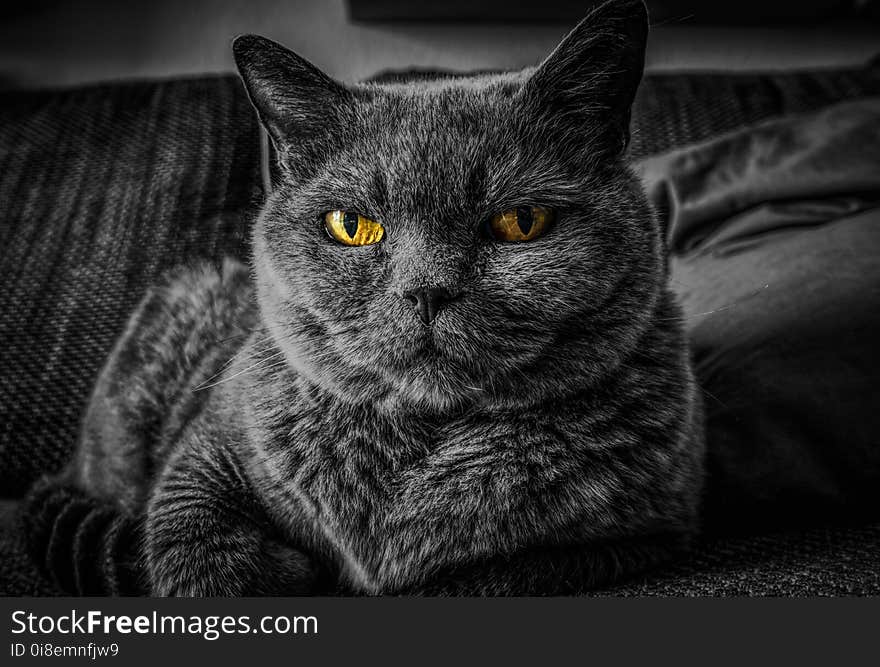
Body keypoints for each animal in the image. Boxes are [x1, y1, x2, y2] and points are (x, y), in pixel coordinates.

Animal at [55, 0, 704, 596]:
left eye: (522, 222)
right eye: (352, 226)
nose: (426, 290)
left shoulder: (649, 532)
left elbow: (484, 575)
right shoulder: (207, 447)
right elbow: (192, 542)